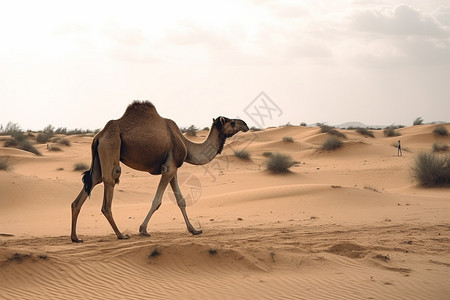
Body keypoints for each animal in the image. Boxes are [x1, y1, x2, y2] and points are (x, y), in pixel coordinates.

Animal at [69, 100, 250, 241]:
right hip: (111, 146)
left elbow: (181, 200)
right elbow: (157, 201)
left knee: (91, 183)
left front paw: (194, 230)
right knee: (110, 182)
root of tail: (99, 135)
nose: (246, 124)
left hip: (100, 158)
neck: (186, 144)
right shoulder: (169, 168)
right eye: (232, 122)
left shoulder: (173, 168)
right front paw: (143, 230)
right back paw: (121, 235)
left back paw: (76, 237)